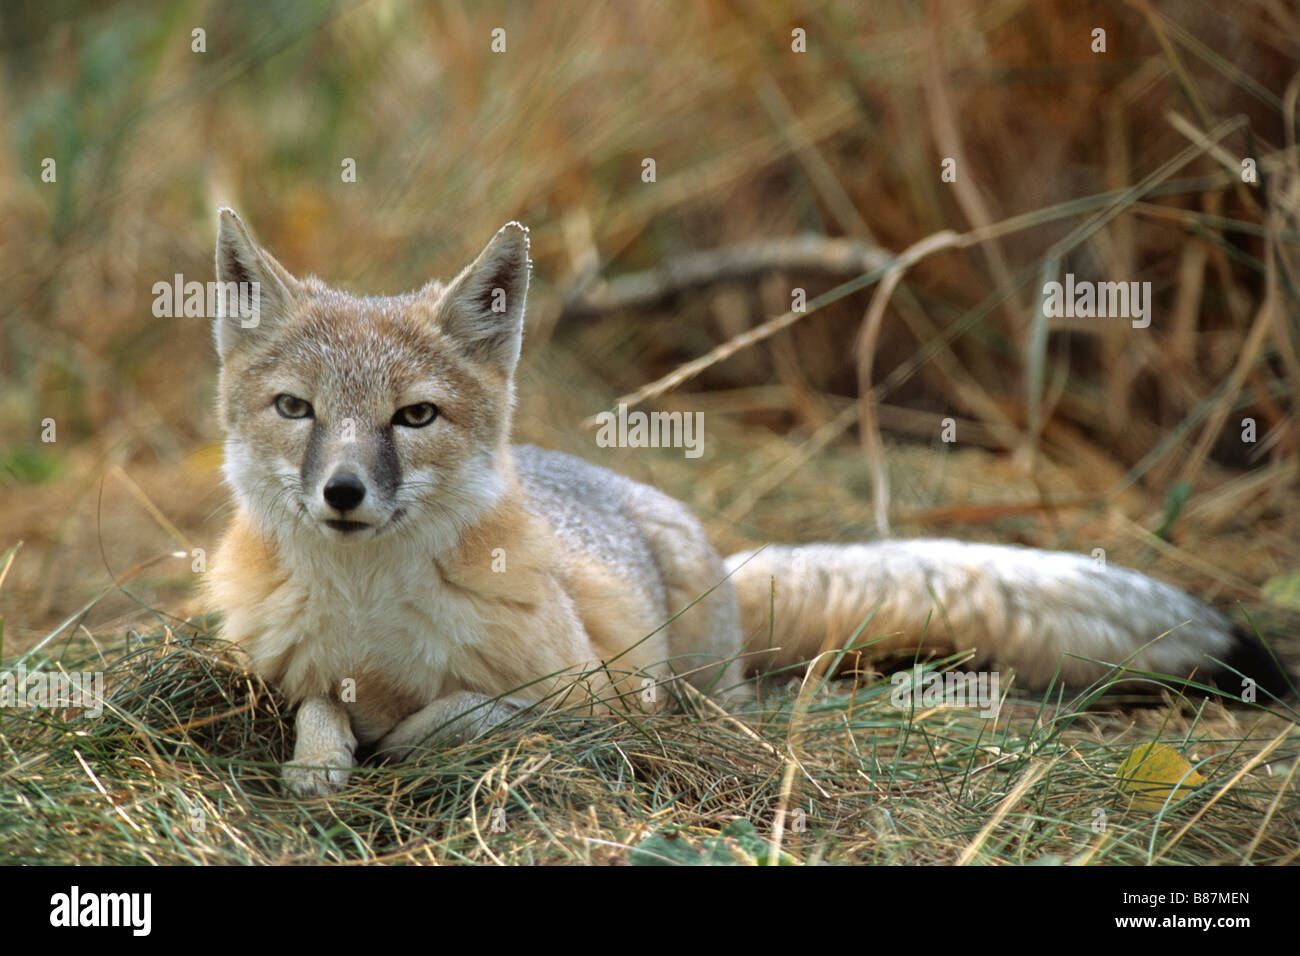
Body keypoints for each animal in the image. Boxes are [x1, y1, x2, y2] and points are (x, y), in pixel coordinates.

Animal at [202, 208, 1289, 790]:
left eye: (414, 416)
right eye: (297, 409)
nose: (342, 491)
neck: (370, 616)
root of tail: (719, 555)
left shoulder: (593, 694)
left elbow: (463, 714)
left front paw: (394, 740)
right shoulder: (280, 662)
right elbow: (316, 706)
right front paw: (320, 763)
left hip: (692, 681)